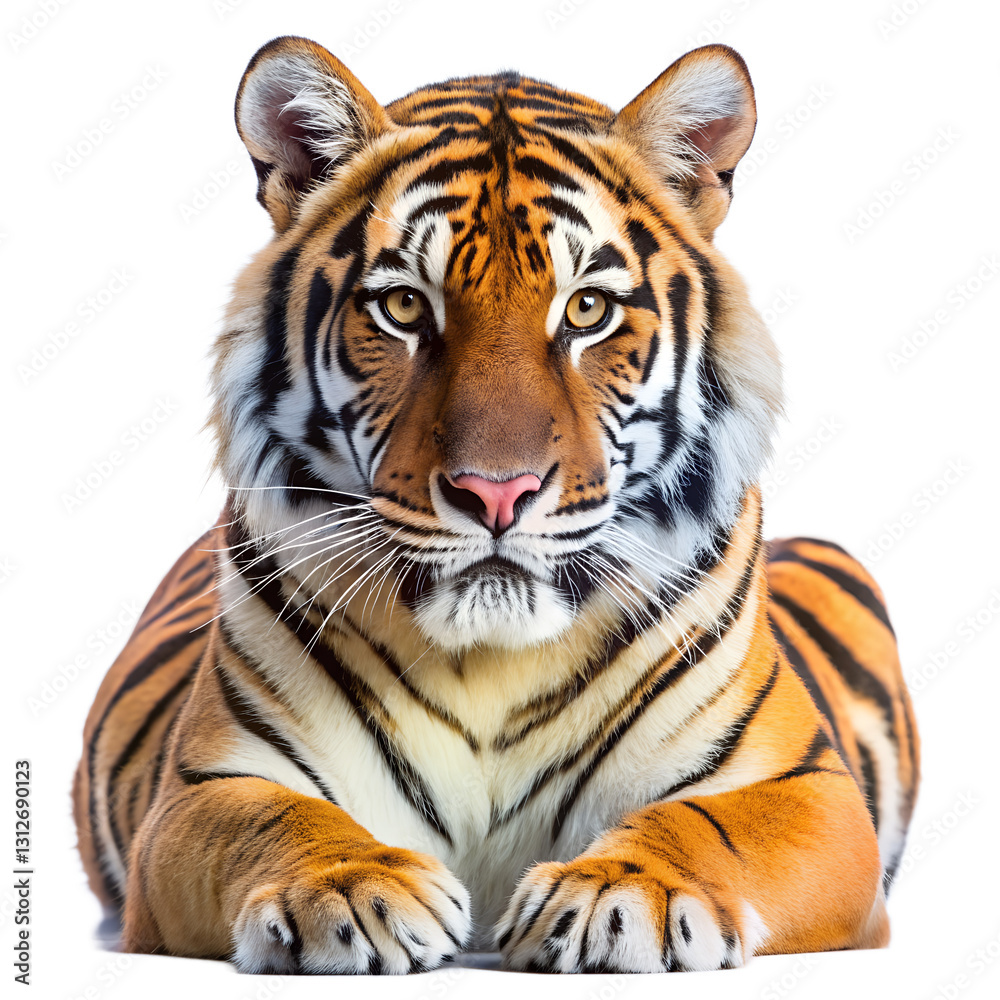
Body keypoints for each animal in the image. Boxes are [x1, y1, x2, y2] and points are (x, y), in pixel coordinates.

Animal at [73, 35, 919, 974]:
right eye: (405, 304)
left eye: (586, 309)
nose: (496, 492)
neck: (490, 667)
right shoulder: (202, 788)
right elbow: (278, 819)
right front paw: (351, 888)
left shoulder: (803, 785)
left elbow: (704, 822)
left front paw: (626, 892)